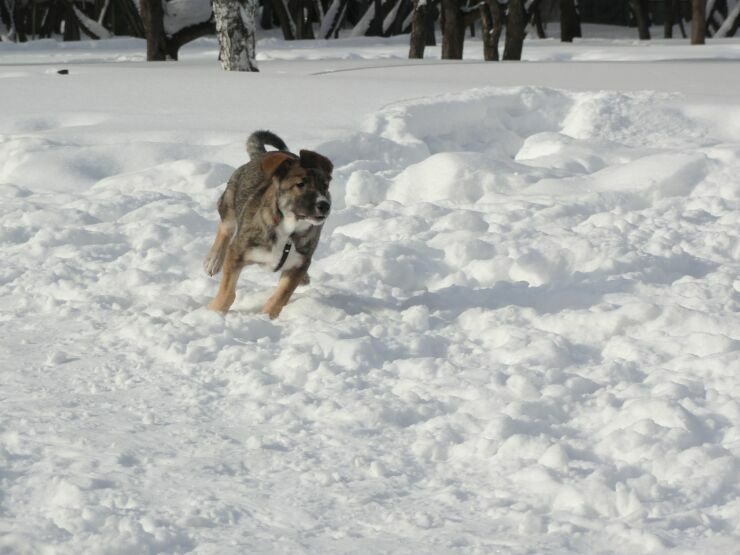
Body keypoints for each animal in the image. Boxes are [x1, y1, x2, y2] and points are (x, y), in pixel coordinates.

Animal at [203, 130, 333, 319]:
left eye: (325, 185)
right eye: (300, 184)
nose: (324, 205)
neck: (289, 229)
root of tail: (261, 155)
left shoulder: (300, 262)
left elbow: (281, 296)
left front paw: (267, 316)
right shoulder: (237, 252)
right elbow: (227, 291)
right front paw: (214, 311)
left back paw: (305, 278)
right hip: (229, 201)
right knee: (225, 227)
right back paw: (213, 261)